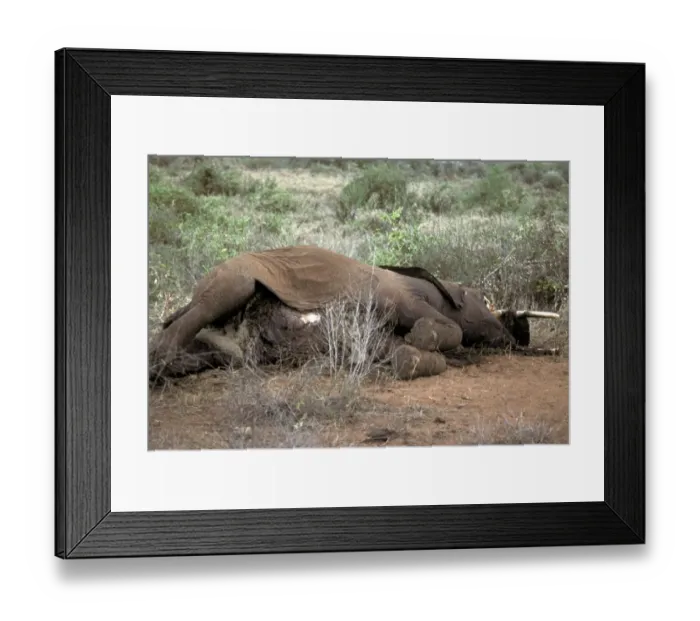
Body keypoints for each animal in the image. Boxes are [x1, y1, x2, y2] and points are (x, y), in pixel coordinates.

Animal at [148, 245, 558, 382]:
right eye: (480, 299)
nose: (517, 332)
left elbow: (393, 351)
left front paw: (410, 353)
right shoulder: (394, 295)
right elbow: (447, 330)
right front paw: (420, 339)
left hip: (224, 347)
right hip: (232, 280)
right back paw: (159, 367)